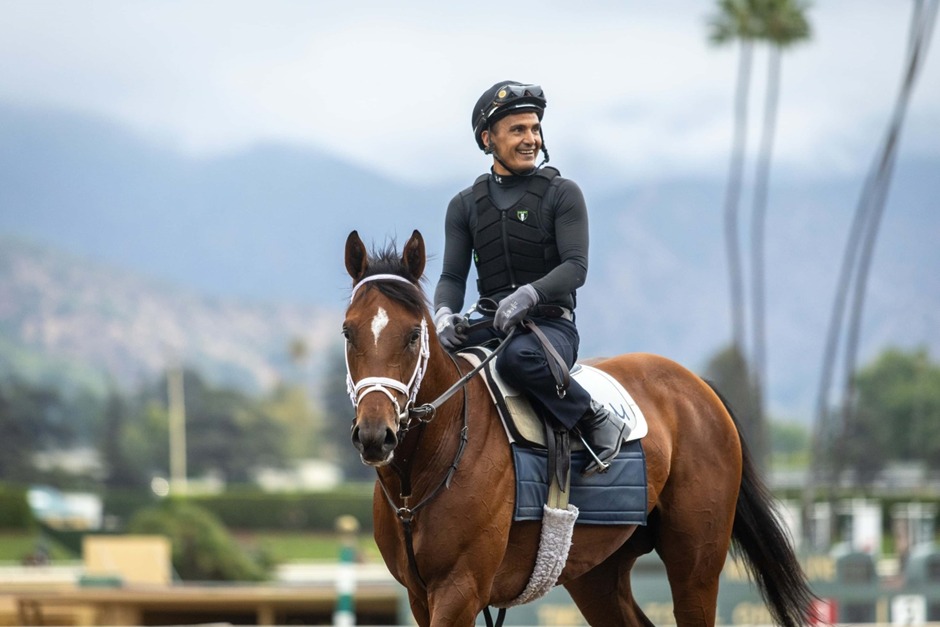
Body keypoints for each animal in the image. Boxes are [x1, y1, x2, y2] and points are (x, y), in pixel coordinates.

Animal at [342, 229, 814, 627]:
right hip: (596, 571)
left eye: (413, 334)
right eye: (348, 332)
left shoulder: (460, 589)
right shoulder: (419, 595)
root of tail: (698, 385)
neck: (422, 472)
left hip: (695, 562)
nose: (375, 435)